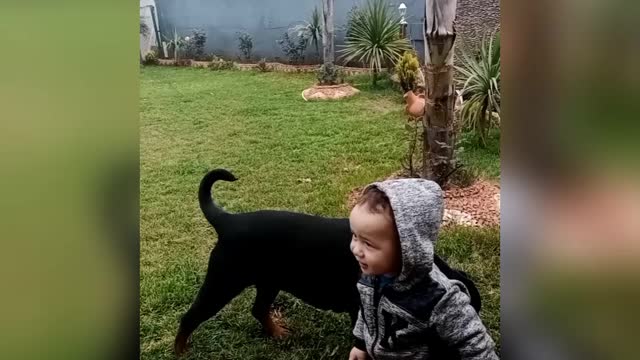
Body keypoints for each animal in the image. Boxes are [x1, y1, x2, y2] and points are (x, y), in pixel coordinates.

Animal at [175, 169, 362, 354]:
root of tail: (228, 220)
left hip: (268, 283)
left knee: (258, 310)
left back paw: (277, 333)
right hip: (223, 284)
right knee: (189, 317)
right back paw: (180, 350)